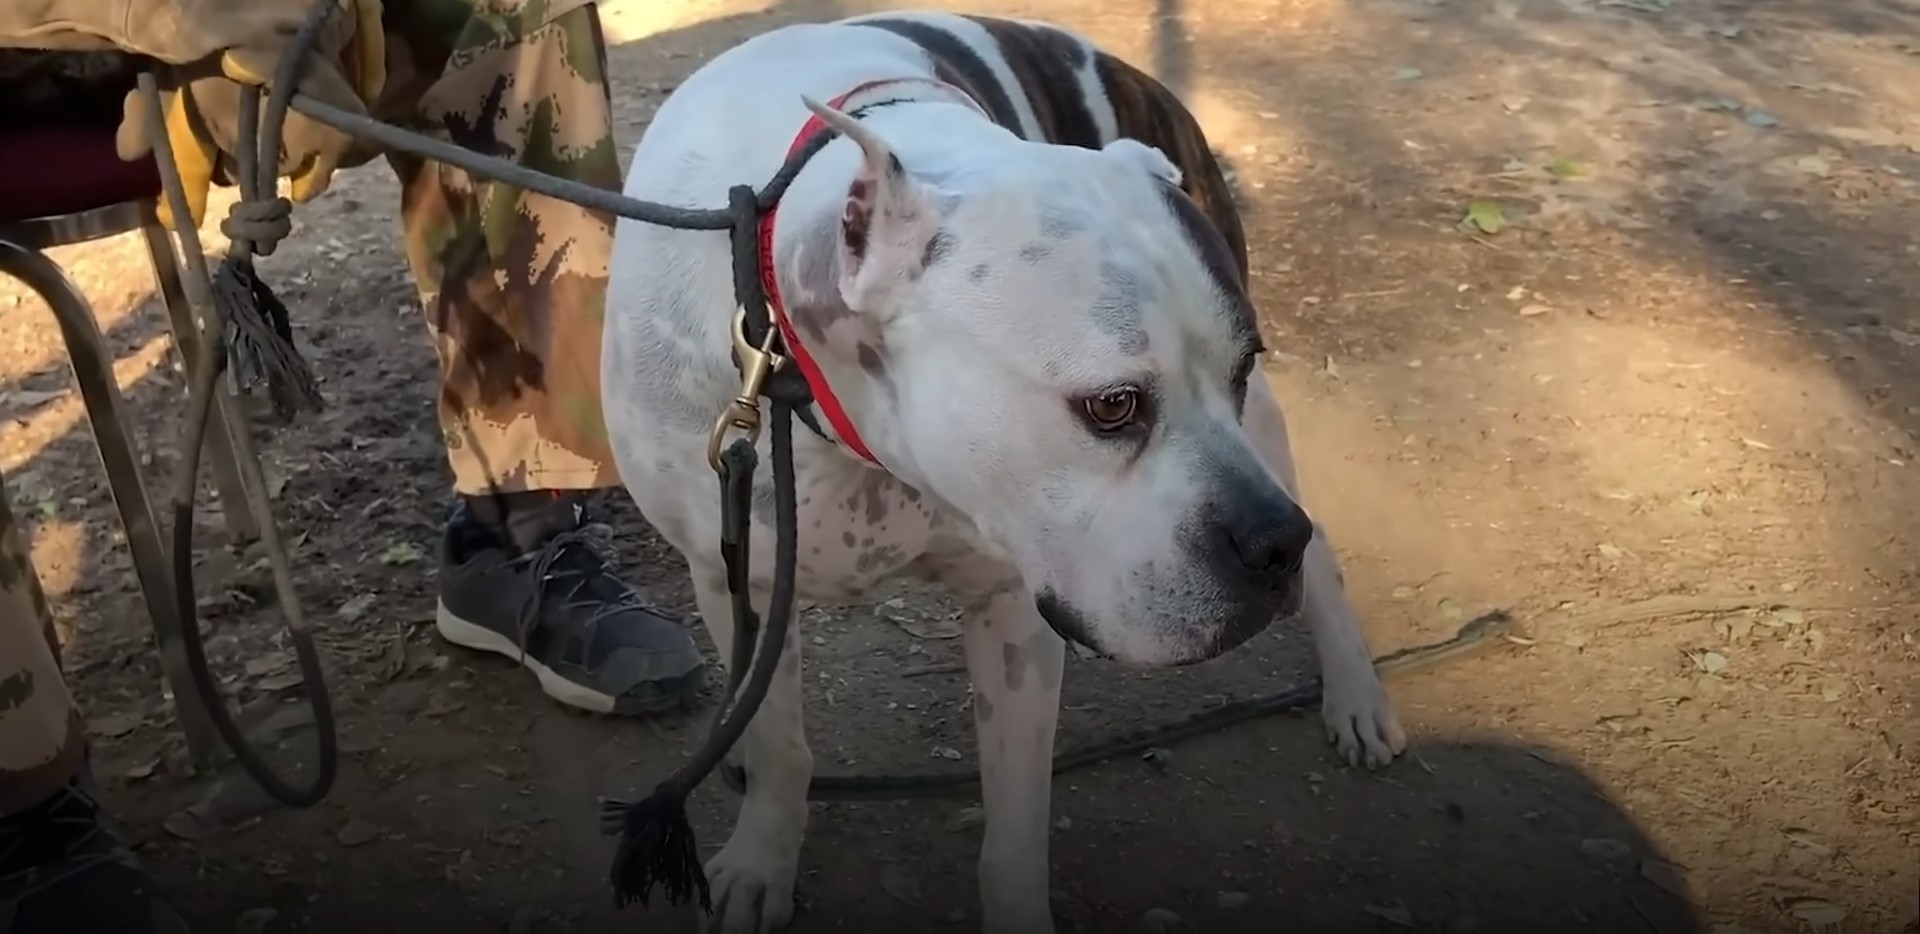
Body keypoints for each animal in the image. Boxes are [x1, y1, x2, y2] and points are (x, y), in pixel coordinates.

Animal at [602, 9, 1413, 934]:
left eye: (1241, 365)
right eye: (1113, 406)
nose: (1273, 545)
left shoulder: (1013, 606)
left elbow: (1016, 822)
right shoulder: (732, 576)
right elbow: (777, 747)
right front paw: (760, 862)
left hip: (1267, 437)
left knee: (1328, 554)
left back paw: (1356, 694)